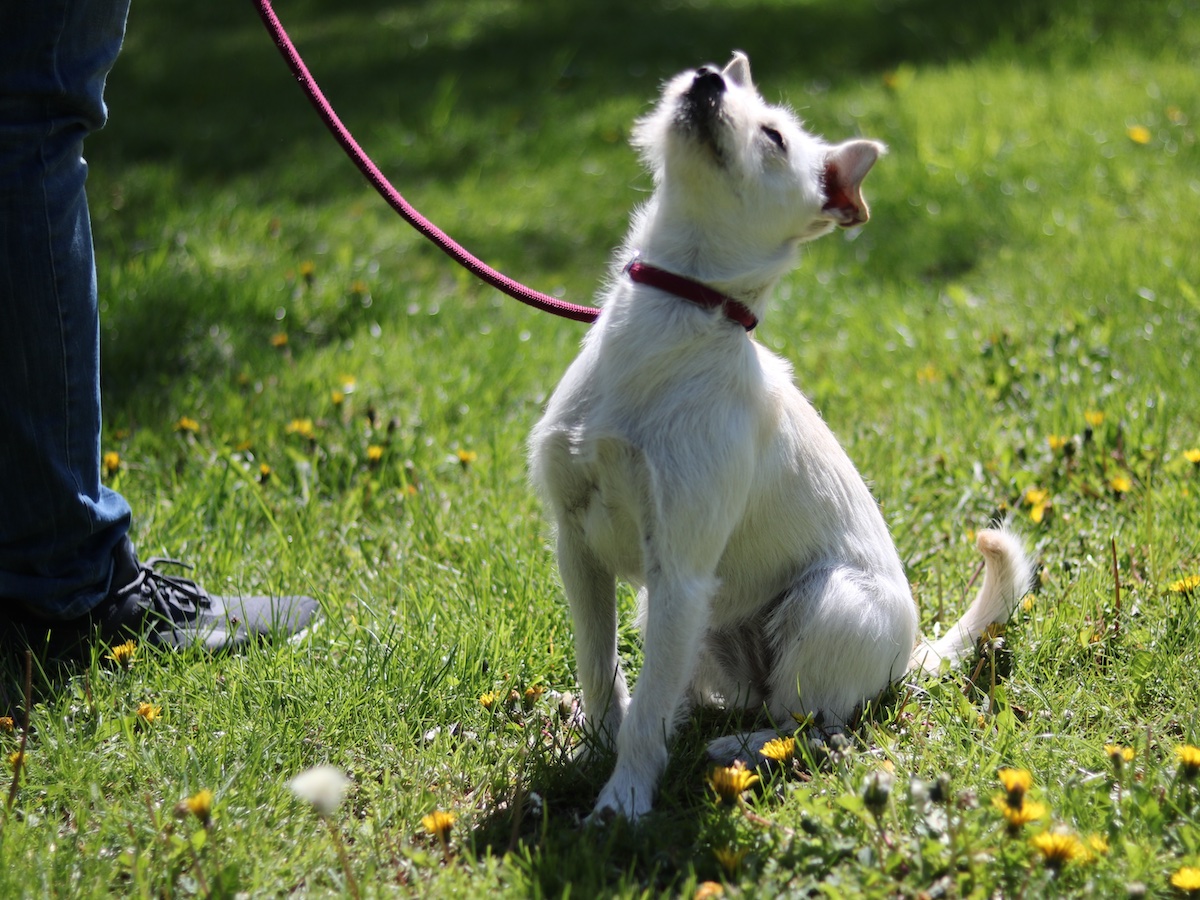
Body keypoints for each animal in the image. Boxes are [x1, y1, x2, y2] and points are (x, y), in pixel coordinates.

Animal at [528, 51, 1032, 825]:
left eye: (773, 137)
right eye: (716, 78)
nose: (706, 78)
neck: (673, 316)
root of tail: (910, 653)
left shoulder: (679, 566)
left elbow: (643, 713)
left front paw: (622, 800)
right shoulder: (578, 546)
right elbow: (600, 666)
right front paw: (596, 742)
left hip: (827, 606)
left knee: (811, 724)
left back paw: (733, 747)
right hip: (688, 619)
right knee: (692, 690)